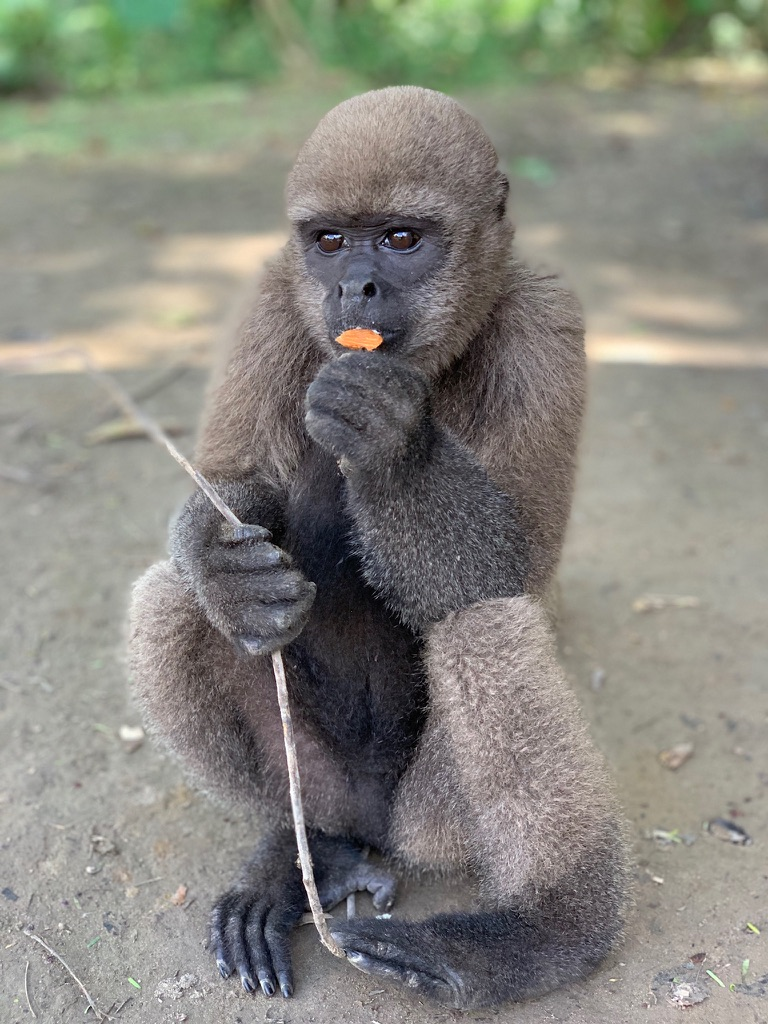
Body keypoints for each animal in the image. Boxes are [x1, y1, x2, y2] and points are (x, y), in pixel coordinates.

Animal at [128, 86, 629, 1010]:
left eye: (400, 239)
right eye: (330, 241)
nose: (353, 285)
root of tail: (368, 820)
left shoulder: (548, 319)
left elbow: (515, 562)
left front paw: (396, 444)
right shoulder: (271, 295)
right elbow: (232, 485)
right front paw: (228, 567)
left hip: (430, 821)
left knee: (481, 619)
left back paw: (542, 936)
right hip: (320, 775)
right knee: (172, 597)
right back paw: (306, 852)